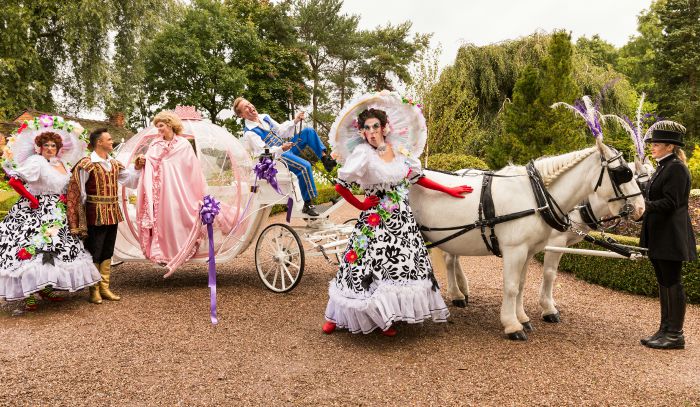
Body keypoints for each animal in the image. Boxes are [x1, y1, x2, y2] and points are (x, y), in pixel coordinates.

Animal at [410, 141, 644, 342]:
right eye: (623, 173)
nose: (641, 209)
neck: (537, 197)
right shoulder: (518, 249)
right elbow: (516, 285)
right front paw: (514, 324)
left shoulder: (528, 251)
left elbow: (521, 285)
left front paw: (522, 317)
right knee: (449, 261)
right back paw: (455, 295)